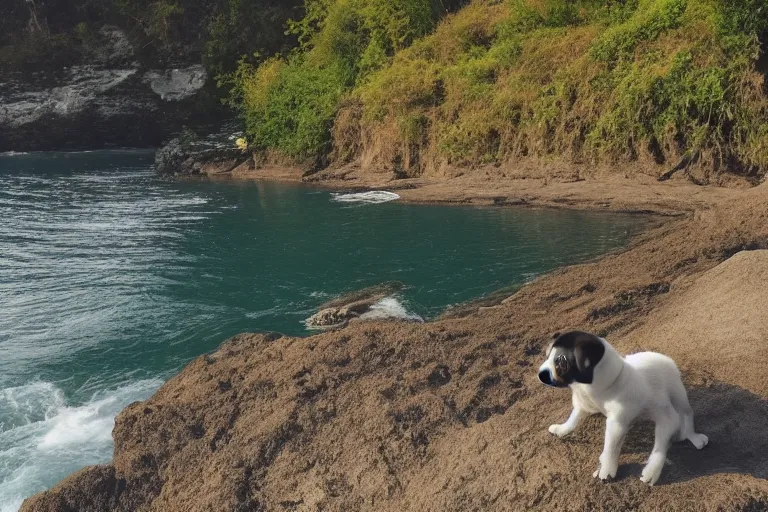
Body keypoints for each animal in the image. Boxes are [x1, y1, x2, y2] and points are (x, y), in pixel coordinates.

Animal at [536, 330, 708, 486]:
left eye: (561, 362)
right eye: (546, 356)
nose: (540, 375)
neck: (609, 385)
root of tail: (660, 355)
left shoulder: (649, 419)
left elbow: (619, 446)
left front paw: (644, 471)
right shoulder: (584, 406)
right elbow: (573, 420)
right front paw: (561, 429)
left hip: (678, 395)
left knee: (687, 414)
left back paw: (693, 436)